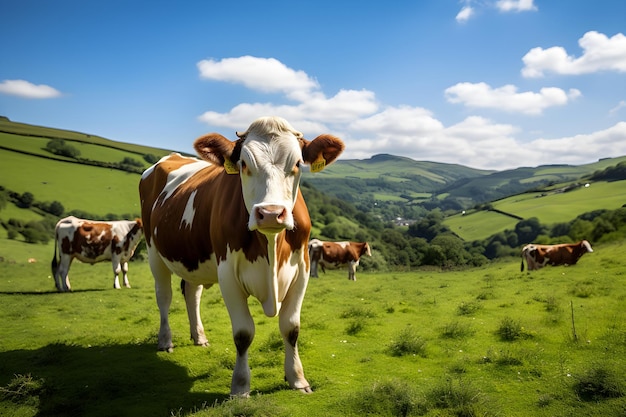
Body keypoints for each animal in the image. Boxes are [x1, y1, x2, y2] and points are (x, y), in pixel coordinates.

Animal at [138, 115, 344, 394]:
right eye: (244, 163)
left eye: (298, 163)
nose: (270, 213)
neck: (271, 247)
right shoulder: (228, 275)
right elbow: (243, 333)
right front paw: (240, 386)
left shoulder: (302, 270)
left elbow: (291, 328)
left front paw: (297, 379)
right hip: (154, 252)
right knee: (164, 297)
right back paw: (165, 341)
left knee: (192, 293)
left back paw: (199, 337)